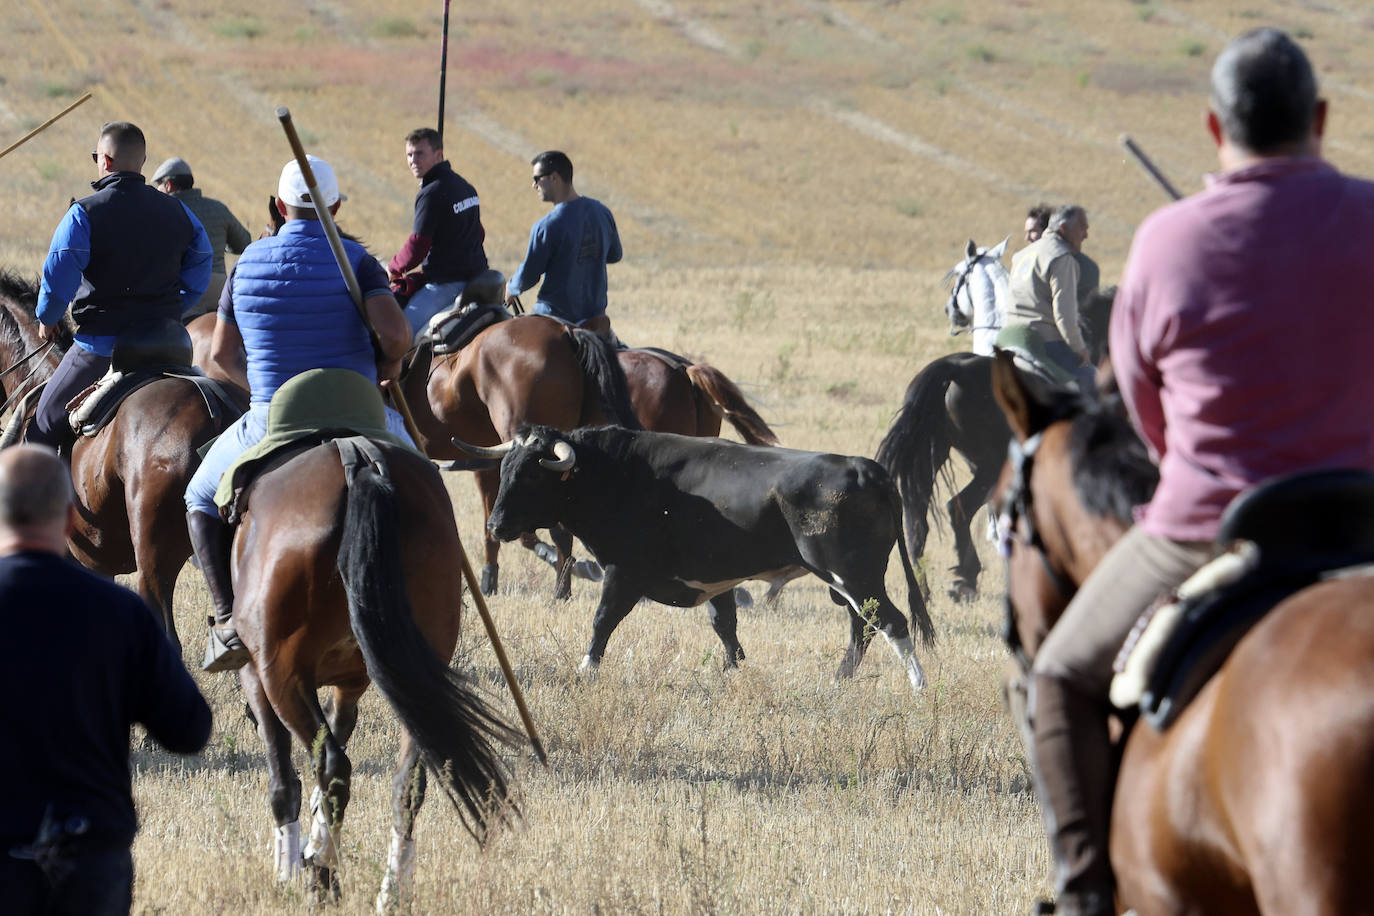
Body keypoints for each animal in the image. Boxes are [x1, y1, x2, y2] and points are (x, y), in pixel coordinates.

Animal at [232, 436, 519, 900]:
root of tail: (358, 461)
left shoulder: (258, 674)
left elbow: (284, 773)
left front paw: (290, 869)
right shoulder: (349, 684)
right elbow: (336, 732)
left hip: (281, 676)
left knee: (333, 767)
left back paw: (323, 877)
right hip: (417, 684)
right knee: (408, 783)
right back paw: (391, 889)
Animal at [478, 425, 939, 692]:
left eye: (533, 474)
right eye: (504, 468)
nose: (495, 526)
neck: (620, 474)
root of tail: (867, 470)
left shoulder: (623, 572)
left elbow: (602, 620)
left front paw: (586, 670)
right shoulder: (718, 581)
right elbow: (726, 627)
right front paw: (734, 672)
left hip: (854, 575)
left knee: (890, 622)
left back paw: (919, 686)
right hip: (850, 582)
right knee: (863, 625)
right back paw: (840, 680)